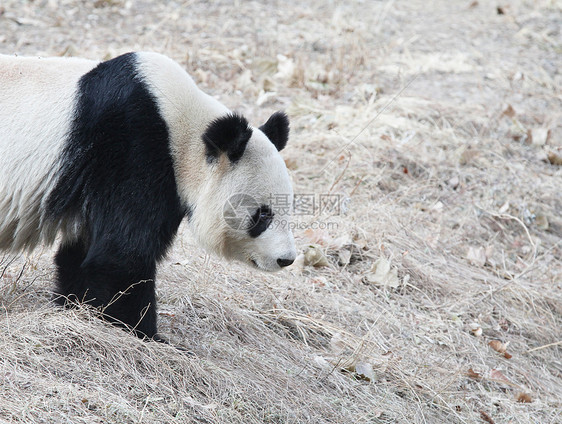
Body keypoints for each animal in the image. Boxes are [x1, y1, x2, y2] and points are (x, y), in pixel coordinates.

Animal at [0, 50, 296, 342]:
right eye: (263, 215)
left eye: (288, 207)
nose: (287, 259)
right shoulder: (132, 148)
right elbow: (121, 255)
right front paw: (145, 334)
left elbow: (82, 254)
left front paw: (78, 310)